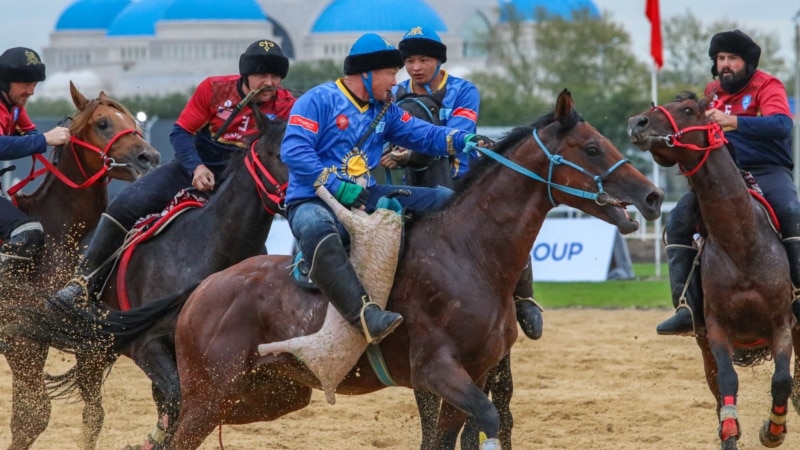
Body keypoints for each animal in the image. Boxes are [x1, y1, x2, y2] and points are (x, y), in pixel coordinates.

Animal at [0, 81, 159, 450]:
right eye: (102, 123)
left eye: (133, 119)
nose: (150, 157)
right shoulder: (20, 341)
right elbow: (32, 417)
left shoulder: (90, 344)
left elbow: (92, 415)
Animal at [628, 93, 800, 448]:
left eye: (688, 110)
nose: (637, 122)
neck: (741, 242)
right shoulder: (717, 331)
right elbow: (727, 383)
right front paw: (731, 431)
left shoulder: (781, 324)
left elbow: (781, 380)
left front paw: (773, 430)